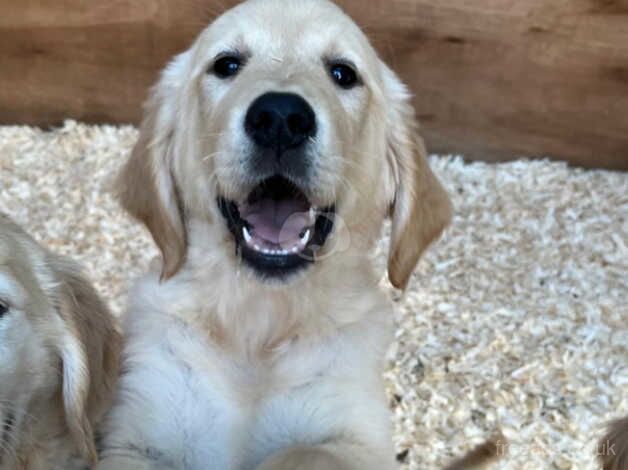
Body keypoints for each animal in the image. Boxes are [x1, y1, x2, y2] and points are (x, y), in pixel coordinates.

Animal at [98, 0, 452, 468]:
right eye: (227, 64)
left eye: (343, 73)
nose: (281, 118)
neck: (258, 323)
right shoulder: (139, 432)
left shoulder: (356, 435)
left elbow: (303, 453)